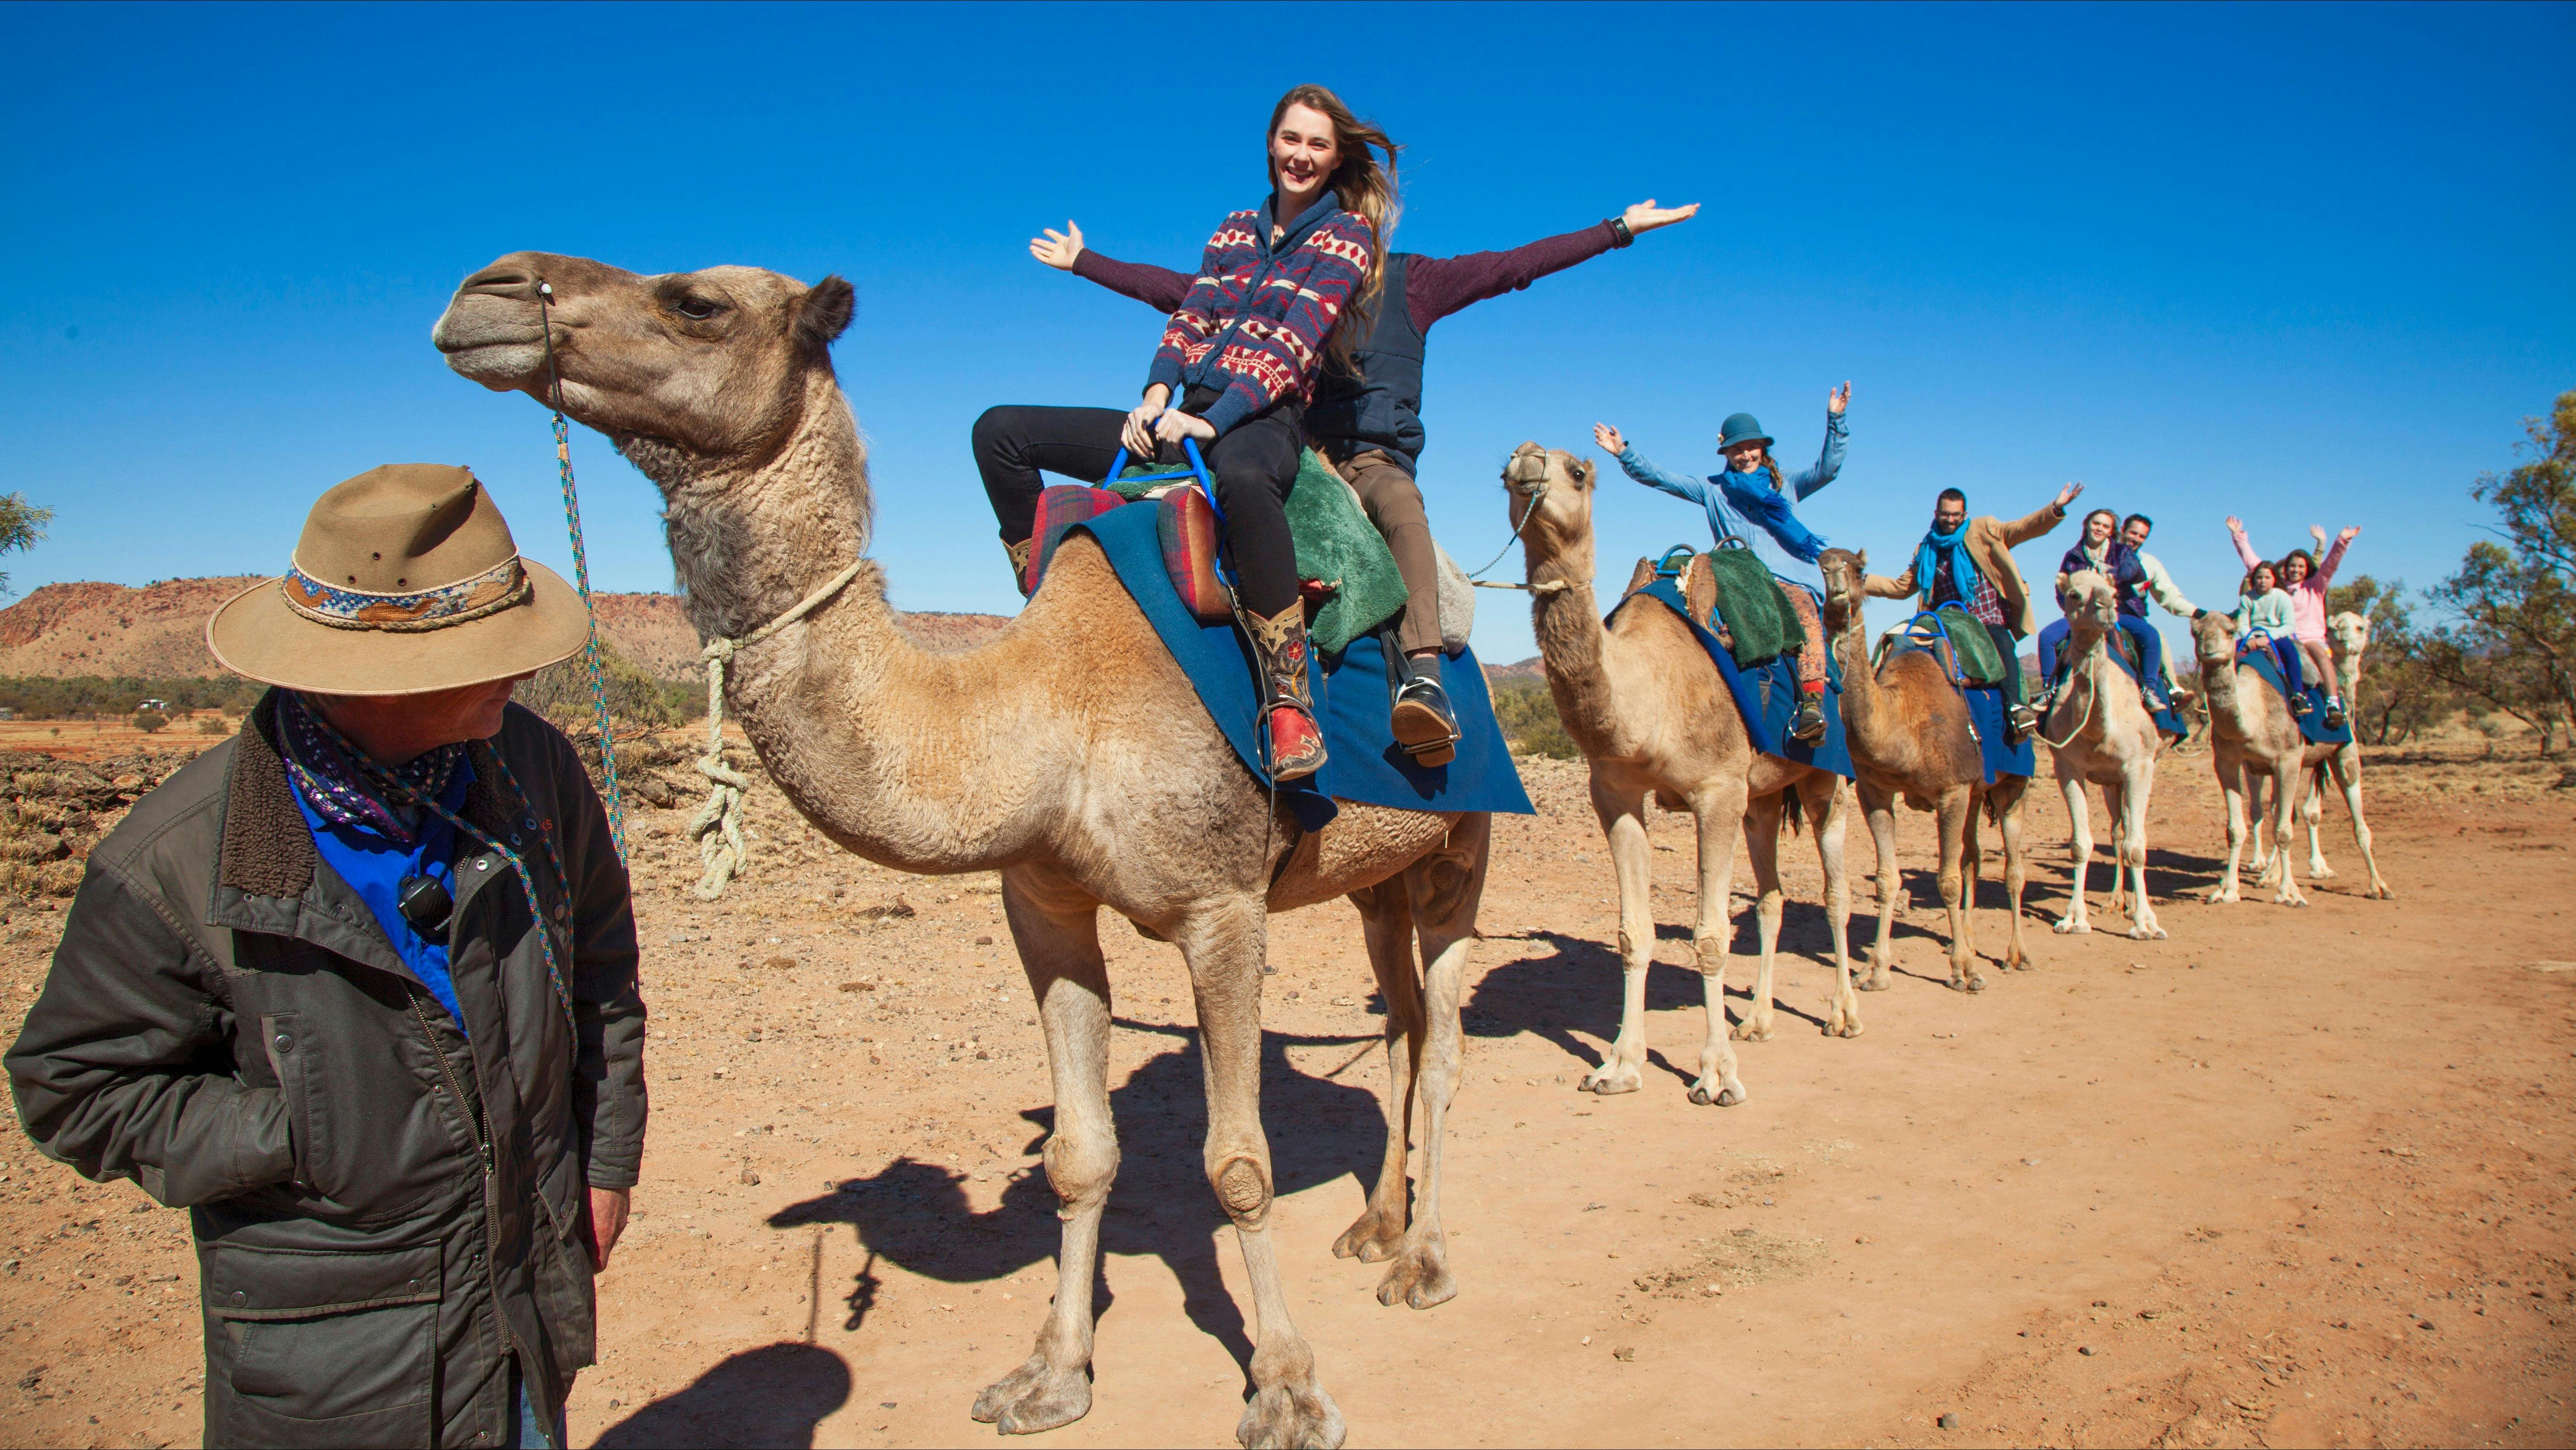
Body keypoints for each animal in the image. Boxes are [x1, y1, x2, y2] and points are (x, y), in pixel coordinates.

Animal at [435, 252, 1494, 1450]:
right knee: (1400, 1023)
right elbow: (1080, 1154)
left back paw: (1423, 1261)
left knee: (1445, 1038)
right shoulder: (1043, 905)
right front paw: (1051, 1373)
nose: (488, 291)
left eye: (695, 301)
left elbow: (1238, 1162)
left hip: (1461, 842)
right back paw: (1376, 1224)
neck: (1046, 706)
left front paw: (1285, 1388)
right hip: (1373, 874)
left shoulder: (1222, 904)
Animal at [1504, 443, 1865, 1112]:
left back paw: (1844, 1014)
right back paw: (1759, 1020)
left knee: (1836, 889)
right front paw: (1619, 1065)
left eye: (1578, 473)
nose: (1526, 459)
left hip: (1826, 779)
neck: (1646, 695)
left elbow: (1710, 937)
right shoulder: (1614, 793)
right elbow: (1633, 933)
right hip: (1762, 798)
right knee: (1772, 897)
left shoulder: (1715, 792)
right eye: (1504, 471)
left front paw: (1717, 1076)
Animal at [1813, 551, 2030, 994]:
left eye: (1857, 569)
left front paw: (1965, 972)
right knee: (1973, 858)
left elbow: (1946, 880)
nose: (1835, 577)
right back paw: (1964, 941)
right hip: (1977, 793)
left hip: (2013, 783)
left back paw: (2014, 955)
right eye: (1820, 565)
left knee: (2013, 868)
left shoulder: (1952, 791)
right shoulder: (1875, 791)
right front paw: (1875, 970)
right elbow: (1887, 879)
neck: (1902, 724)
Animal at [2040, 567, 2164, 942]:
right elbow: (2081, 844)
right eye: (2074, 594)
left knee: (2129, 835)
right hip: (2111, 782)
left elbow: (2139, 846)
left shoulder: (2139, 765)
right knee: (2118, 831)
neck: (2099, 730)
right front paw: (2074, 919)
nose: (2107, 605)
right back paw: (2115, 901)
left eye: (2114, 591)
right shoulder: (2067, 767)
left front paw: (2146, 923)